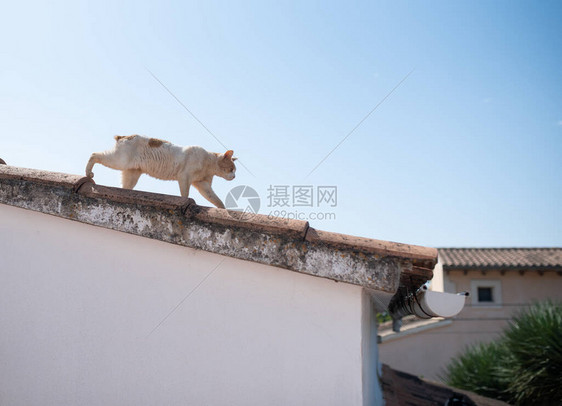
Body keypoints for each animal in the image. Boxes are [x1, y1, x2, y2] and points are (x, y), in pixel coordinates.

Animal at [85, 135, 236, 208]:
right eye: (232, 169)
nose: (234, 176)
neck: (208, 163)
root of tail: (124, 136)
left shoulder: (203, 185)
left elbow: (216, 200)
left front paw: (223, 210)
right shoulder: (184, 177)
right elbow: (185, 195)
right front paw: (184, 201)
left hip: (131, 174)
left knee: (124, 187)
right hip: (118, 161)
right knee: (94, 154)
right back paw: (88, 173)